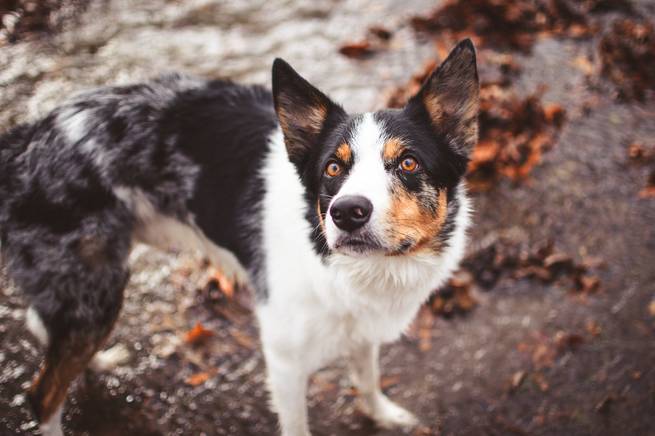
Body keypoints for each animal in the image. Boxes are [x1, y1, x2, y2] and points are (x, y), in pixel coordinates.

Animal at [1, 39, 482, 434]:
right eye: (332, 167)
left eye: (408, 163)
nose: (347, 213)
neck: (353, 270)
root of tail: (25, 140)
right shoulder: (284, 360)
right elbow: (298, 424)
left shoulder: (361, 330)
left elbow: (367, 378)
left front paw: (383, 414)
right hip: (92, 290)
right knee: (41, 396)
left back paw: (97, 360)